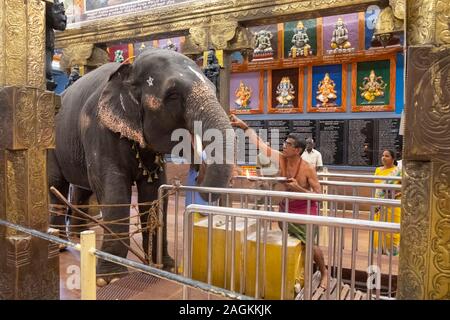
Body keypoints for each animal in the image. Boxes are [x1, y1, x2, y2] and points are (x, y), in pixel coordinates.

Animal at [49, 48, 234, 286]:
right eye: (173, 95)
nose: (197, 170)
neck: (129, 70)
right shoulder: (99, 129)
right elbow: (113, 189)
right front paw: (109, 279)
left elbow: (154, 190)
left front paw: (163, 267)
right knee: (57, 186)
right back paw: (59, 245)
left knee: (82, 189)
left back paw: (77, 237)